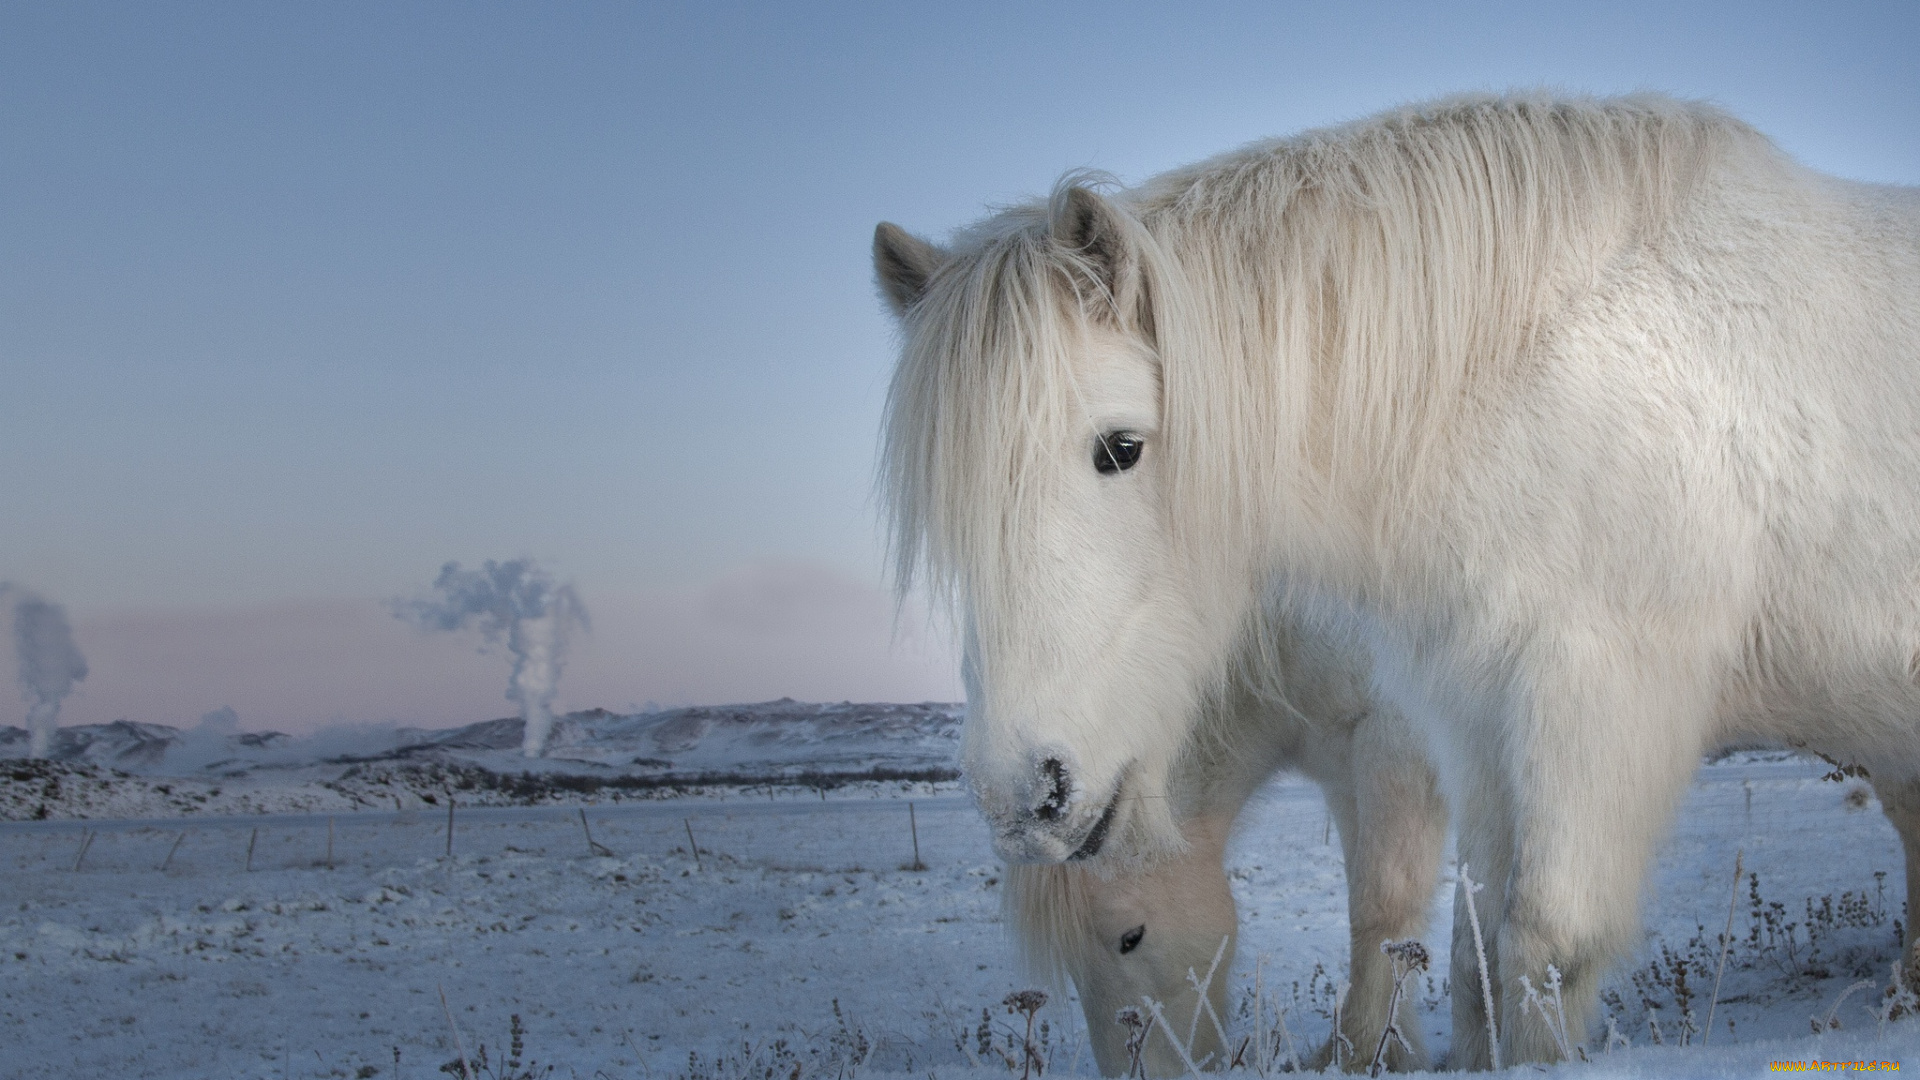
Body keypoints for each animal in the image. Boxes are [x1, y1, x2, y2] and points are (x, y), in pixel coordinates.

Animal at [879, 94, 1920, 1068]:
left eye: (1120, 448)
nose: (1025, 795)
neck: (1527, 365)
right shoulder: (1477, 717)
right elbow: (1473, 950)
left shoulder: (1569, 709)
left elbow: (1519, 938)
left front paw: (1376, 1053)